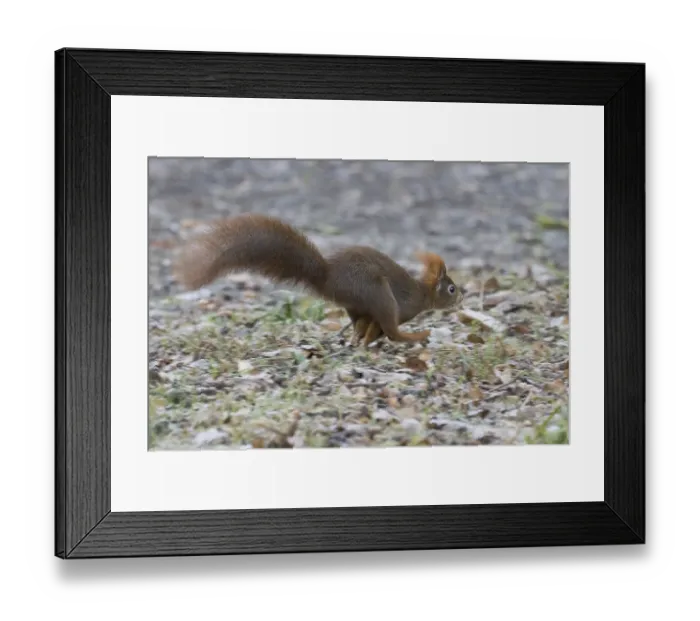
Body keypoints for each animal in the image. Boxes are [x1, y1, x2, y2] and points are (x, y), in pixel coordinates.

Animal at [173, 213, 464, 347]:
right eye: (451, 288)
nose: (463, 296)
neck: (423, 293)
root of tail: (327, 278)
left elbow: (370, 328)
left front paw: (365, 340)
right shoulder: (402, 306)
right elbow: (385, 328)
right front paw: (373, 339)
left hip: (359, 302)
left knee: (360, 323)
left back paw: (359, 339)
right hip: (377, 292)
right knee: (392, 329)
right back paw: (415, 335)